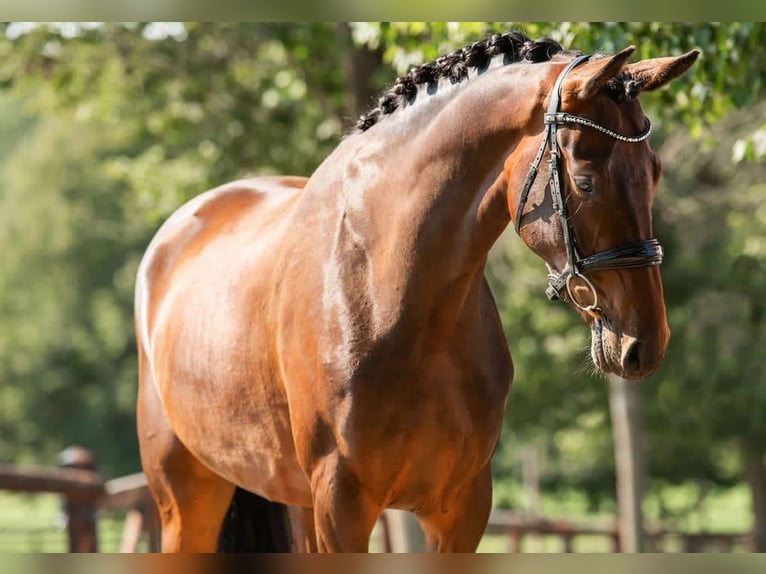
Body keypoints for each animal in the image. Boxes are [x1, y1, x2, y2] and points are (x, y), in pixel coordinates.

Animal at [134, 32, 699, 552]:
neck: (395, 299)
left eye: (655, 174)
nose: (645, 344)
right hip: (187, 501)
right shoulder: (341, 505)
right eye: (585, 182)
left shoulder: (462, 507)